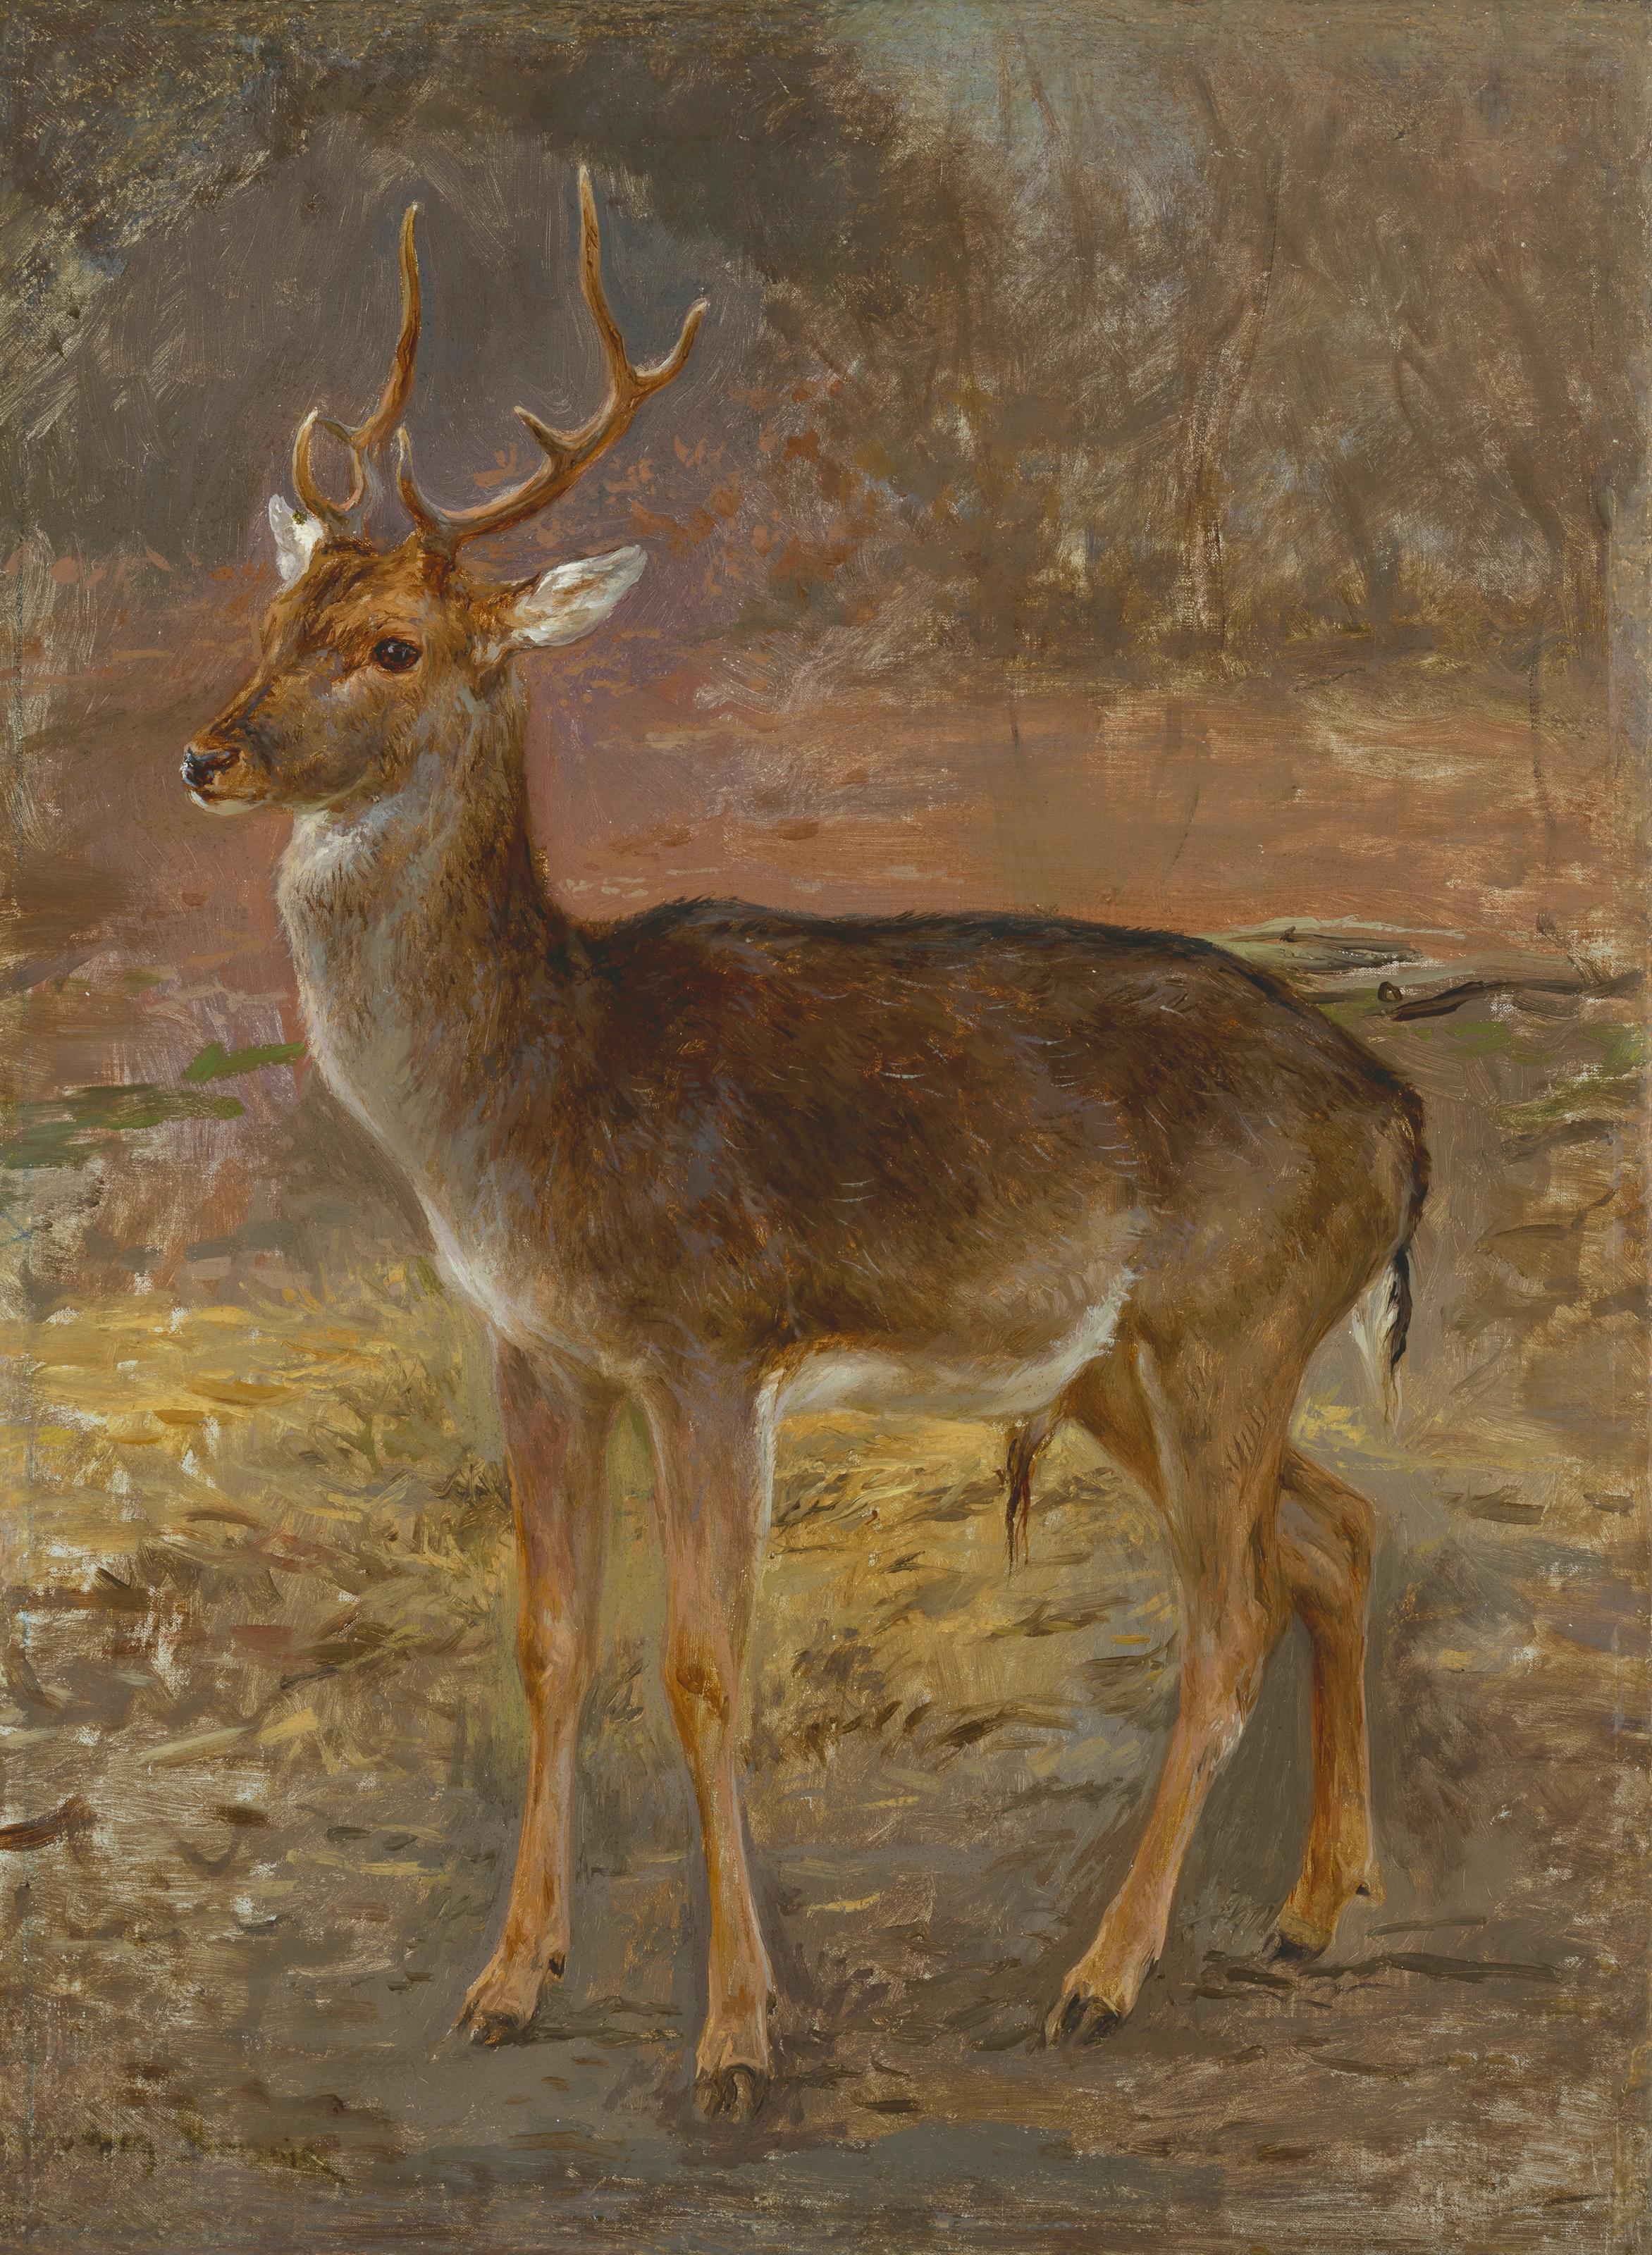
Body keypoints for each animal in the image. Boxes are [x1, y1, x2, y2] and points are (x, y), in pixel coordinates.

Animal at [182, 172, 1428, 2122]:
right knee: (1338, 1532)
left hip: (1227, 1322)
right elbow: (549, 1646)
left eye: (394, 645)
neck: (533, 1092)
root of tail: (1399, 1120)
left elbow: (702, 1669)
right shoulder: (533, 1346)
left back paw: (1100, 1974)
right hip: (1129, 1364)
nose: (208, 755)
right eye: (272, 616)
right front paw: (507, 1982)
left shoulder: (709, 1340)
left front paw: (734, 2038)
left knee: (1224, 1617)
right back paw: (1308, 1908)